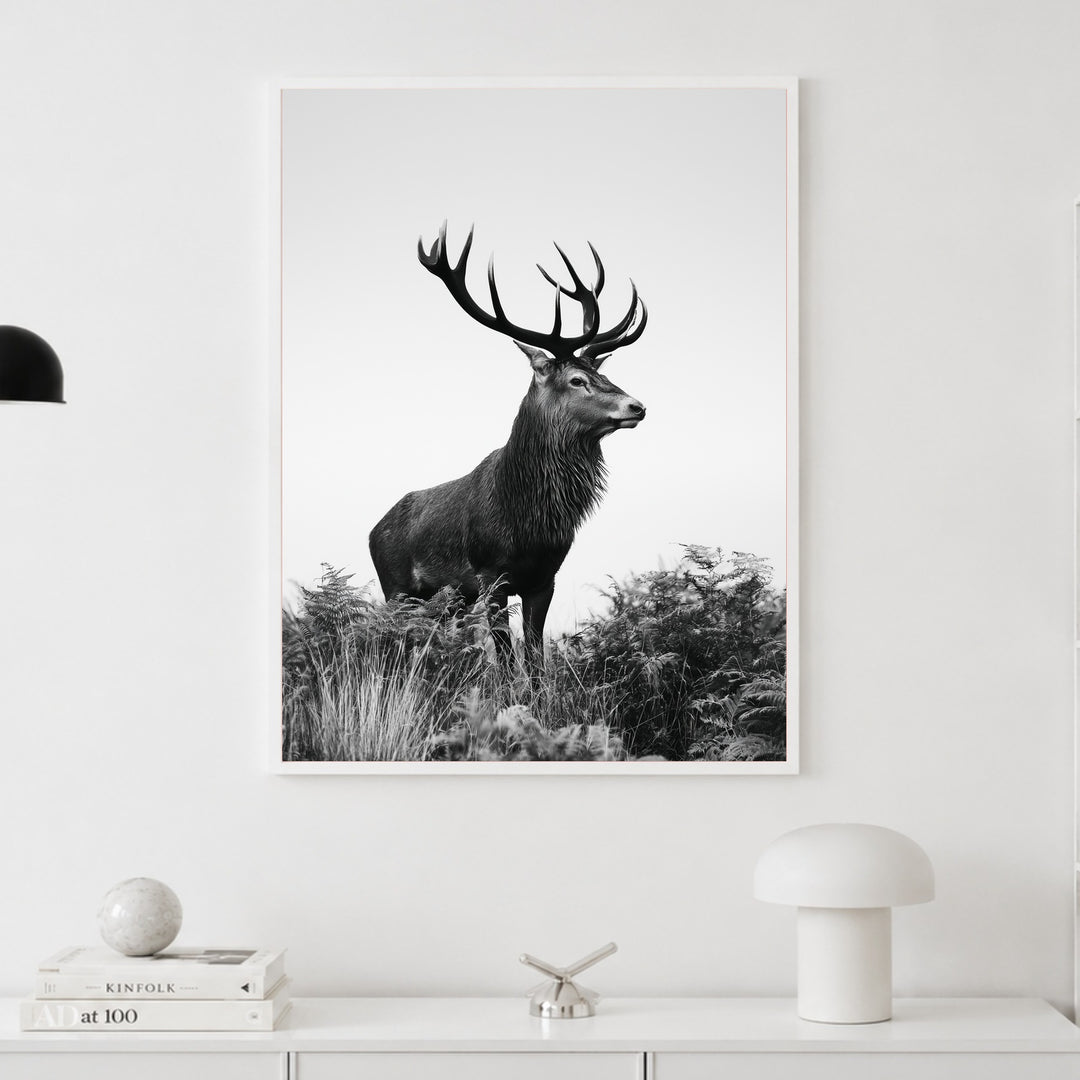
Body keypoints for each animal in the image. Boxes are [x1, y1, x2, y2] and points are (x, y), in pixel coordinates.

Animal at [368, 222, 647, 664]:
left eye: (602, 374)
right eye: (577, 380)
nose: (637, 406)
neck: (527, 518)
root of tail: (373, 530)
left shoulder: (544, 577)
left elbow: (533, 656)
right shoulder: (491, 574)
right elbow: (503, 655)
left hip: (447, 600)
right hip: (395, 587)